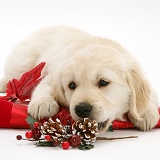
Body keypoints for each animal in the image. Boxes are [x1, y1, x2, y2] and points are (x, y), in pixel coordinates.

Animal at [0, 26, 159, 134]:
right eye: (71, 85)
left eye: (103, 82)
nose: (81, 109)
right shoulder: (51, 75)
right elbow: (44, 87)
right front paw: (43, 103)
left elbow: (150, 95)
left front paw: (146, 112)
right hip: (22, 62)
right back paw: (4, 83)